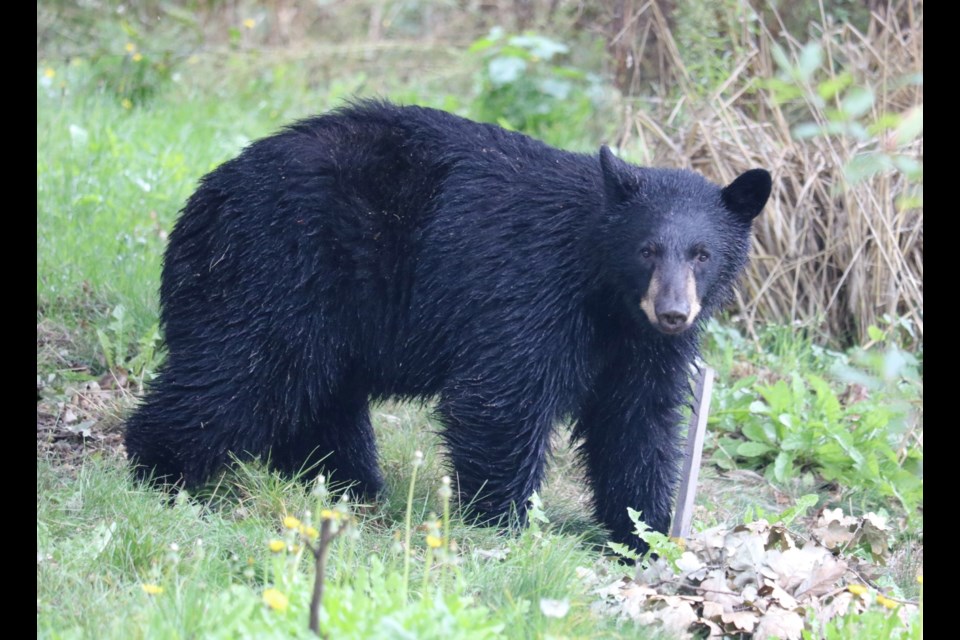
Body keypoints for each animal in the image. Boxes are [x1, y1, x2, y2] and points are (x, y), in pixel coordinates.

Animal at [125, 100, 772, 552]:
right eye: (647, 250)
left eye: (702, 254)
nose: (674, 313)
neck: (607, 294)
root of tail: (203, 197)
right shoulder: (528, 290)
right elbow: (503, 397)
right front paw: (503, 521)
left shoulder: (640, 347)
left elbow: (637, 422)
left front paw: (647, 532)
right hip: (276, 270)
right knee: (237, 373)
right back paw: (159, 469)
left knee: (317, 398)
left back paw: (347, 486)